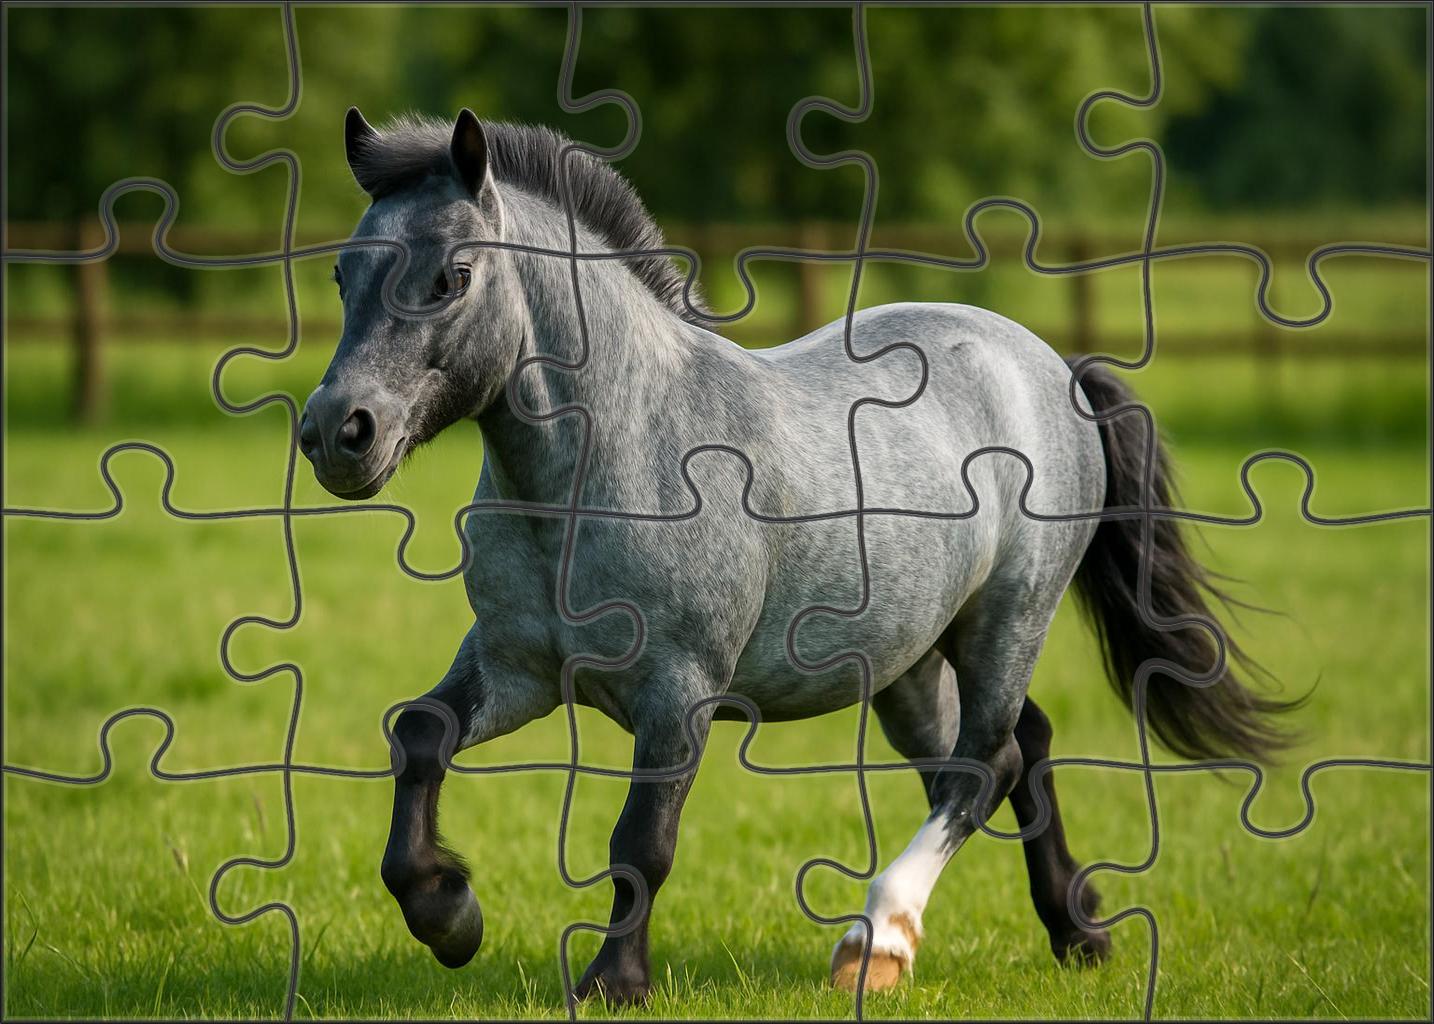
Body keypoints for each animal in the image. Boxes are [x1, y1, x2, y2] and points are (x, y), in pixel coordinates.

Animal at [299, 108, 1294, 1004]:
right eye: (345, 272)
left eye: (453, 275)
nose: (338, 433)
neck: (615, 455)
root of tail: (1054, 370)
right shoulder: (518, 670)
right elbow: (419, 734)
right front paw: (449, 915)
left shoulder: (680, 689)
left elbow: (640, 842)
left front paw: (614, 983)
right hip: (910, 658)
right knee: (1016, 749)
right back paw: (1077, 937)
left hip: (1011, 617)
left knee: (983, 763)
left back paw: (877, 943)